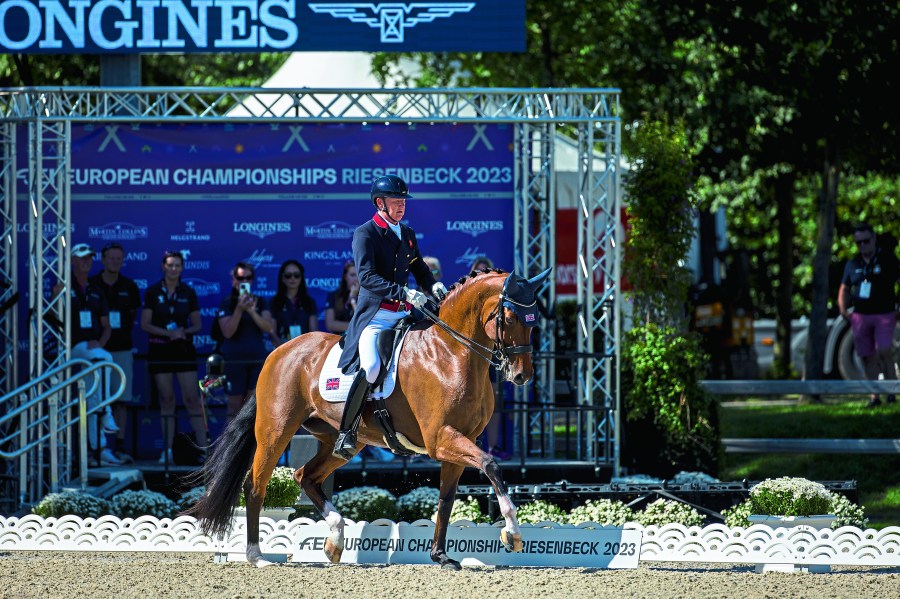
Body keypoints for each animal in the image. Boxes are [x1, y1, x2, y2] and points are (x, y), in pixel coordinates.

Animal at [186, 270, 548, 568]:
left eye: (534, 321)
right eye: (510, 317)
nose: (522, 375)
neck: (451, 353)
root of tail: (278, 352)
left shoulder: (461, 440)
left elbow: (446, 500)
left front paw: (441, 556)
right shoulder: (440, 439)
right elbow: (491, 465)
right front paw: (512, 533)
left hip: (340, 440)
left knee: (306, 476)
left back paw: (334, 540)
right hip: (276, 431)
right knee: (256, 484)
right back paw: (256, 555)